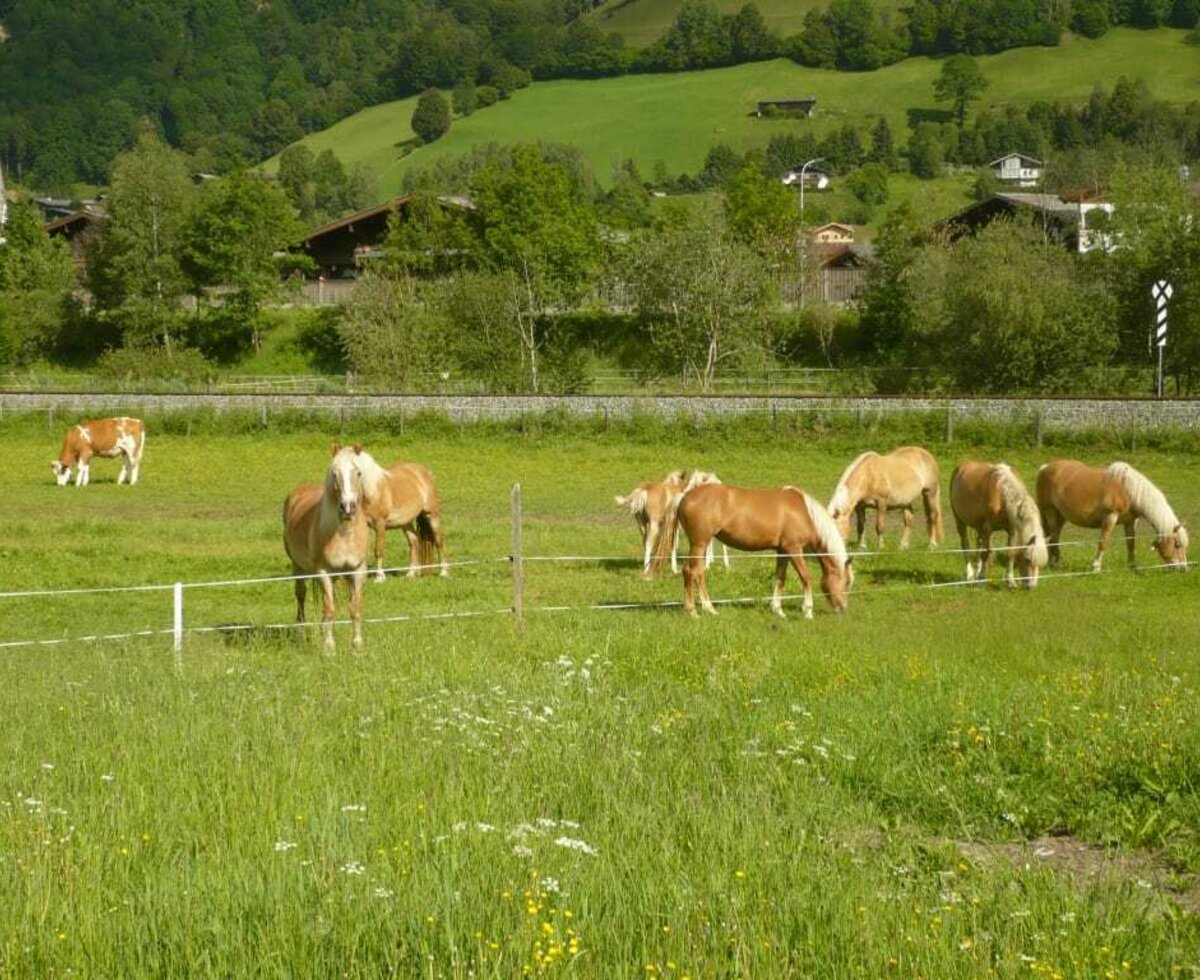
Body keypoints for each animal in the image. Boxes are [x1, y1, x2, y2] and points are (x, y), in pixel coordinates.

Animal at [282, 443, 384, 647]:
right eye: (334, 474)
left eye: (358, 473)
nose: (347, 507)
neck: (344, 534)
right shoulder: (324, 572)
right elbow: (329, 610)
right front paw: (329, 646)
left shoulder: (357, 571)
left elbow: (355, 608)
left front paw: (357, 644)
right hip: (298, 567)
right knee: (300, 596)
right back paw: (300, 634)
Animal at [676, 484, 854, 618]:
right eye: (846, 582)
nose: (843, 607)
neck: (806, 513)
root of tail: (684, 498)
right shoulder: (794, 549)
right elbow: (805, 576)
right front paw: (808, 610)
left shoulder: (783, 551)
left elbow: (780, 578)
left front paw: (778, 610)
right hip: (699, 543)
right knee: (691, 571)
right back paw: (694, 611)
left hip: (701, 545)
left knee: (697, 572)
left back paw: (708, 609)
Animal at [1036, 460, 1185, 568]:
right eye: (1177, 544)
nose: (1183, 568)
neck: (1127, 490)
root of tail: (1044, 468)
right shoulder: (1110, 517)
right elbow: (1103, 542)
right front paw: (1096, 566)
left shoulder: (1130, 521)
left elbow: (1131, 543)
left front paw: (1132, 566)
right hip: (1050, 512)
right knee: (1054, 539)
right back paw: (1057, 564)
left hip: (1061, 517)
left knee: (1054, 537)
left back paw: (1053, 563)